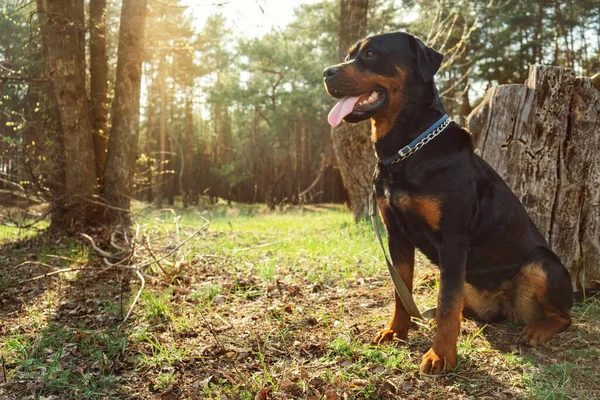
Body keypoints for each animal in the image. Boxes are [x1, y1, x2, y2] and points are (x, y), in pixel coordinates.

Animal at [324, 32, 572, 376]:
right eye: (350, 55)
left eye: (371, 53)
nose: (326, 72)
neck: (406, 150)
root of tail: (505, 306)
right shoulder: (397, 236)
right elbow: (402, 292)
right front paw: (396, 330)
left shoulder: (453, 240)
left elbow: (445, 305)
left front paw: (440, 355)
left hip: (542, 264)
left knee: (563, 316)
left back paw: (538, 329)